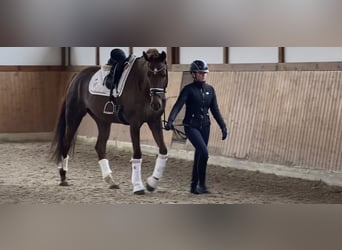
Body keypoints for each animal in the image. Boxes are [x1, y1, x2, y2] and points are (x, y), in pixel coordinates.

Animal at [51, 47, 168, 194]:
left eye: (163, 74)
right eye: (148, 74)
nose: (156, 104)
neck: (141, 87)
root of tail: (77, 75)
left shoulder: (154, 122)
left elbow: (163, 150)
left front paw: (152, 182)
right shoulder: (135, 124)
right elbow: (137, 154)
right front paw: (138, 186)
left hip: (103, 121)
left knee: (100, 146)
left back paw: (110, 180)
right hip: (74, 116)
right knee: (66, 143)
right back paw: (63, 177)